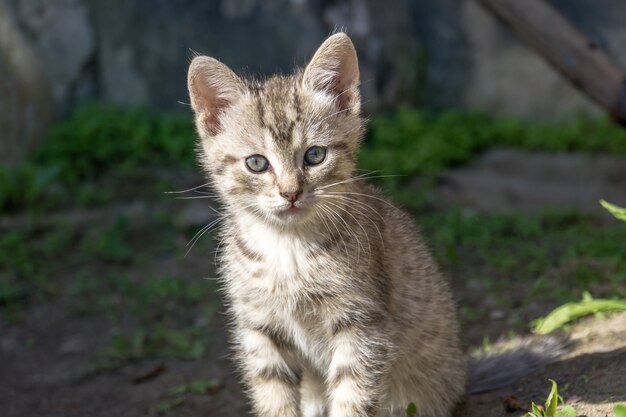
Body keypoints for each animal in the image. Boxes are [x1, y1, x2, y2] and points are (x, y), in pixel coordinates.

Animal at [186, 34, 556, 416]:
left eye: (314, 155)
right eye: (257, 163)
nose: (291, 193)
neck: (288, 248)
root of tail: (463, 377)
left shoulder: (361, 324)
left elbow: (353, 394)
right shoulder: (260, 328)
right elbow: (274, 396)